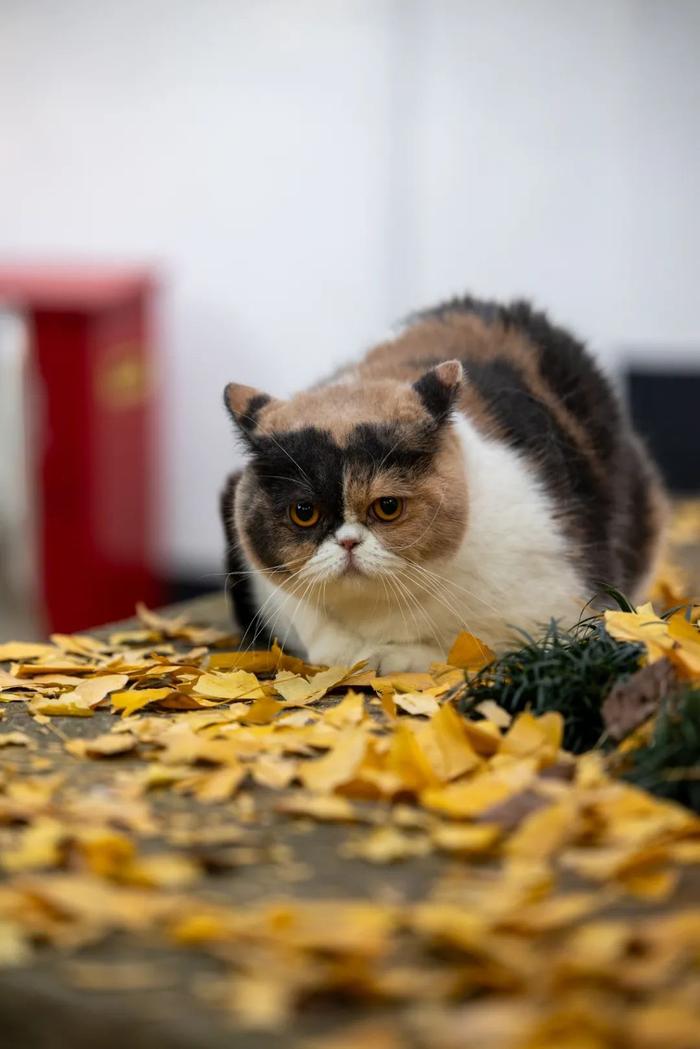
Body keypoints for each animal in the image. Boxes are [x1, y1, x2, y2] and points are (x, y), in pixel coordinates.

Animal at [220, 295, 667, 671]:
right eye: (304, 513)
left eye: (387, 506)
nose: (348, 542)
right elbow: (323, 640)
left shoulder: (556, 610)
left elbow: (470, 647)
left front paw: (391, 657)